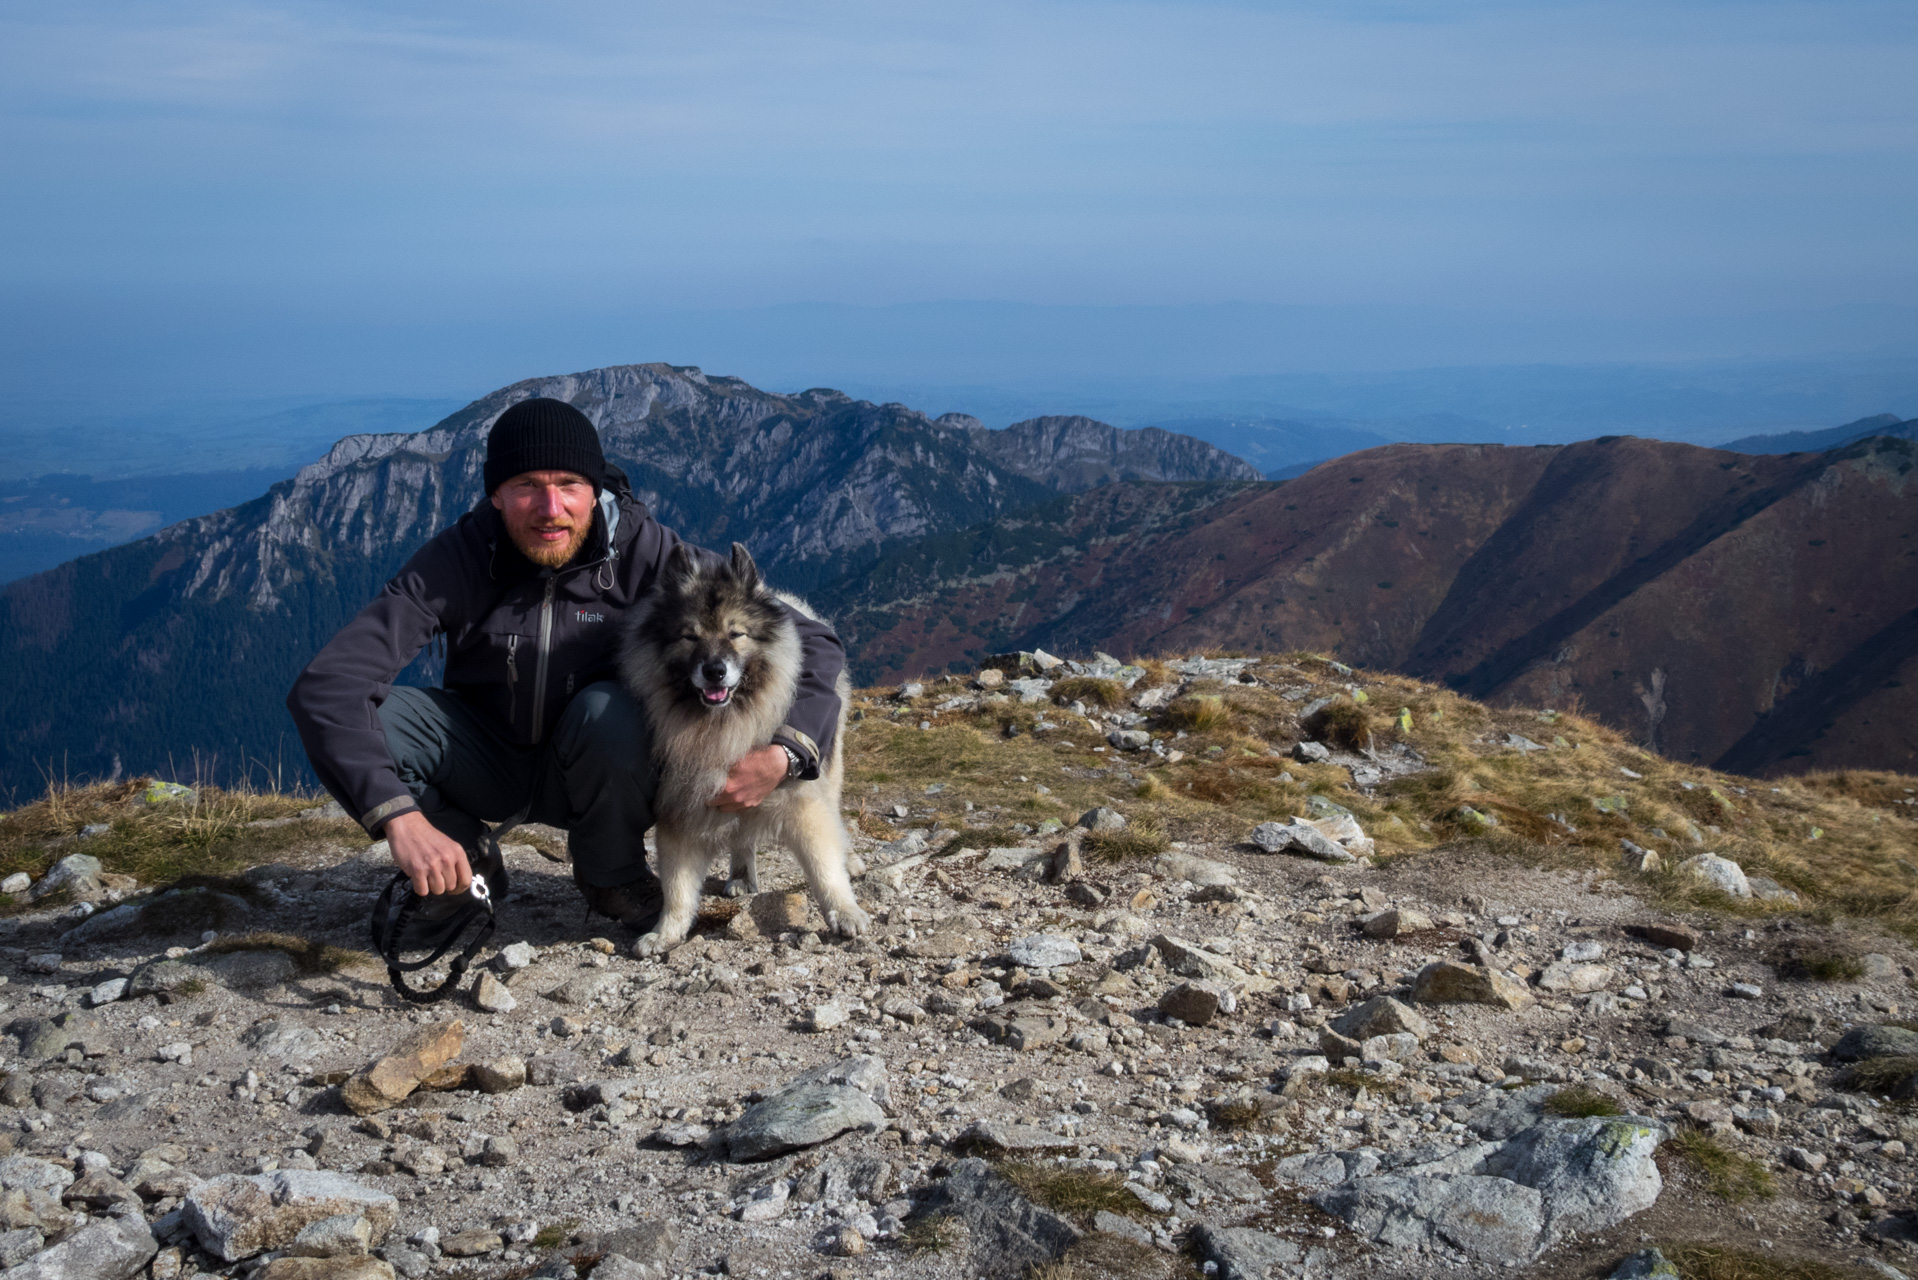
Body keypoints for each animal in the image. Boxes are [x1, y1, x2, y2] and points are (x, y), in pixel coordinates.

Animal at [613, 537, 870, 951]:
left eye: (736, 634)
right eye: (690, 636)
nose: (715, 671)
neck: (723, 723)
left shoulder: (803, 803)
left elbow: (823, 866)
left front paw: (845, 911)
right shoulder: (679, 810)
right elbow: (678, 887)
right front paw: (666, 932)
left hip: (829, 770)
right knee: (742, 836)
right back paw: (741, 873)